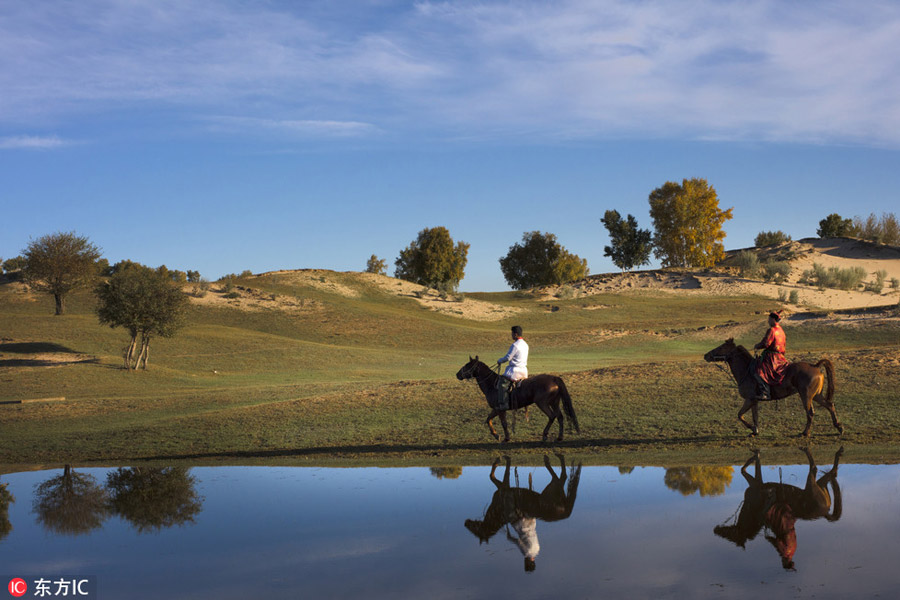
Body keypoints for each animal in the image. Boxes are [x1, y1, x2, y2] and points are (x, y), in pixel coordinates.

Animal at [704, 339, 843, 437]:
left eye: (721, 347)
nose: (706, 355)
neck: (746, 371)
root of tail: (815, 366)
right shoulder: (754, 401)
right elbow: (754, 416)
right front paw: (755, 431)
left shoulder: (749, 399)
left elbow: (740, 415)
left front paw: (752, 429)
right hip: (816, 395)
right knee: (829, 405)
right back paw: (839, 427)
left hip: (806, 395)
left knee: (810, 412)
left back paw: (805, 433)